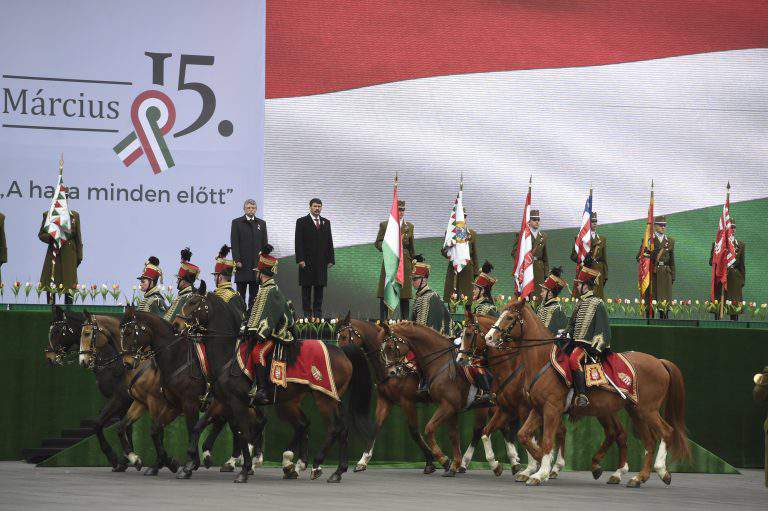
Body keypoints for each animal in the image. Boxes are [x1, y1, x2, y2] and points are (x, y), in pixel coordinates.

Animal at [178, 292, 374, 484]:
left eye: (193, 302)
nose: (177, 324)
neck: (229, 359)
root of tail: (342, 351)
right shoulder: (221, 401)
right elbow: (198, 427)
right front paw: (189, 464)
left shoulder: (238, 403)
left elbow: (242, 433)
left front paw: (244, 469)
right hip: (316, 400)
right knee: (333, 427)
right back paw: (332, 470)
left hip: (323, 398)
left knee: (334, 427)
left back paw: (316, 465)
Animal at [488, 300, 692, 488]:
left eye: (509, 317)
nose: (490, 337)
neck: (542, 362)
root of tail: (659, 361)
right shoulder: (537, 409)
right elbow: (523, 435)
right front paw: (537, 464)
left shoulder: (551, 409)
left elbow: (546, 441)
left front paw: (541, 471)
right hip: (634, 411)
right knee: (647, 441)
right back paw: (638, 477)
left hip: (647, 410)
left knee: (666, 431)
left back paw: (661, 471)